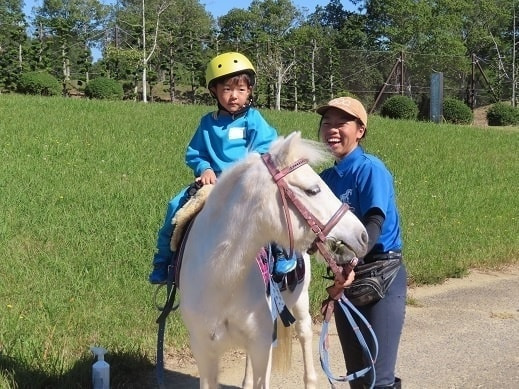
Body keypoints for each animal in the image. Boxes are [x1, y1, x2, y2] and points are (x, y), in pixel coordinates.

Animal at [180, 132, 370, 386]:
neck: (221, 279)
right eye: (313, 190)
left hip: (301, 302)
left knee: (305, 334)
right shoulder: (204, 350)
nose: (362, 235)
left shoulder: (263, 346)